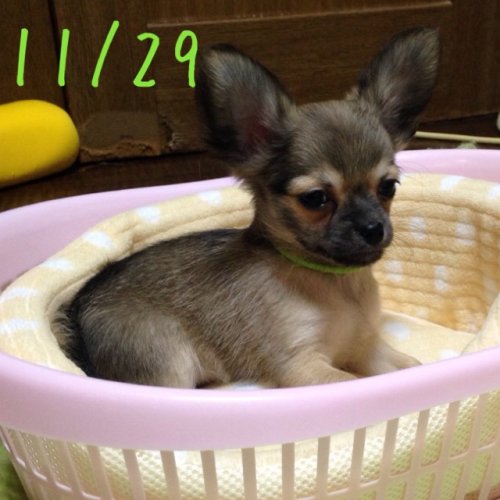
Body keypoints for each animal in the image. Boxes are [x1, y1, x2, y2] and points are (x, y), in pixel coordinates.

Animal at [58, 27, 439, 388]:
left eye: (388, 187)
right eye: (315, 198)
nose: (374, 229)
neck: (337, 286)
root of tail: (77, 315)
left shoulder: (367, 348)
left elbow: (412, 366)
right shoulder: (303, 368)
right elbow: (354, 383)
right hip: (167, 362)